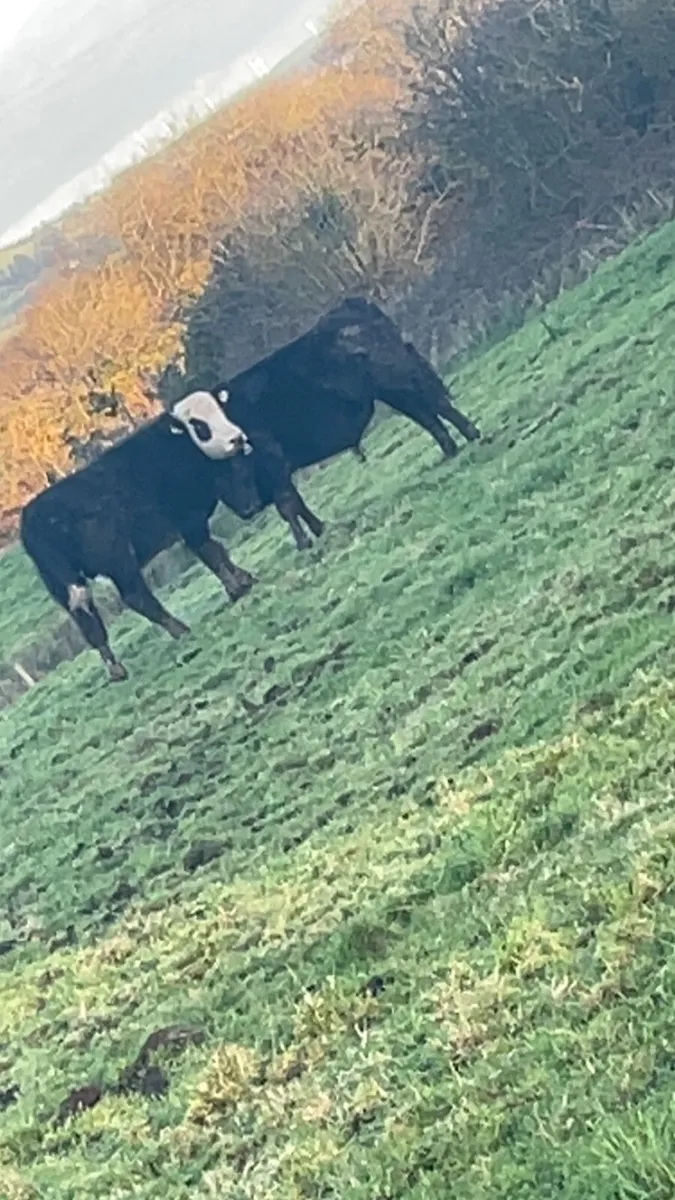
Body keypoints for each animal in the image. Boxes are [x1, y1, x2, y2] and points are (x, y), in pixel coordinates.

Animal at [19, 391, 262, 682]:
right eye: (199, 424)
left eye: (220, 411)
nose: (236, 438)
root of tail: (32, 518)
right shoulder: (187, 518)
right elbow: (211, 551)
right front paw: (238, 587)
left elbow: (216, 550)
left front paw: (243, 579)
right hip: (117, 558)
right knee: (135, 596)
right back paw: (180, 630)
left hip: (64, 585)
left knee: (88, 623)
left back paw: (116, 670)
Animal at [182, 297, 481, 549]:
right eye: (215, 479)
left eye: (232, 464)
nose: (246, 510)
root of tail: (349, 307)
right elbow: (297, 503)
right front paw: (318, 531)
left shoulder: (275, 465)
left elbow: (287, 505)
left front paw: (304, 543)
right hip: (392, 390)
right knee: (425, 415)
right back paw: (451, 449)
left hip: (399, 378)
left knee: (435, 405)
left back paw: (471, 435)